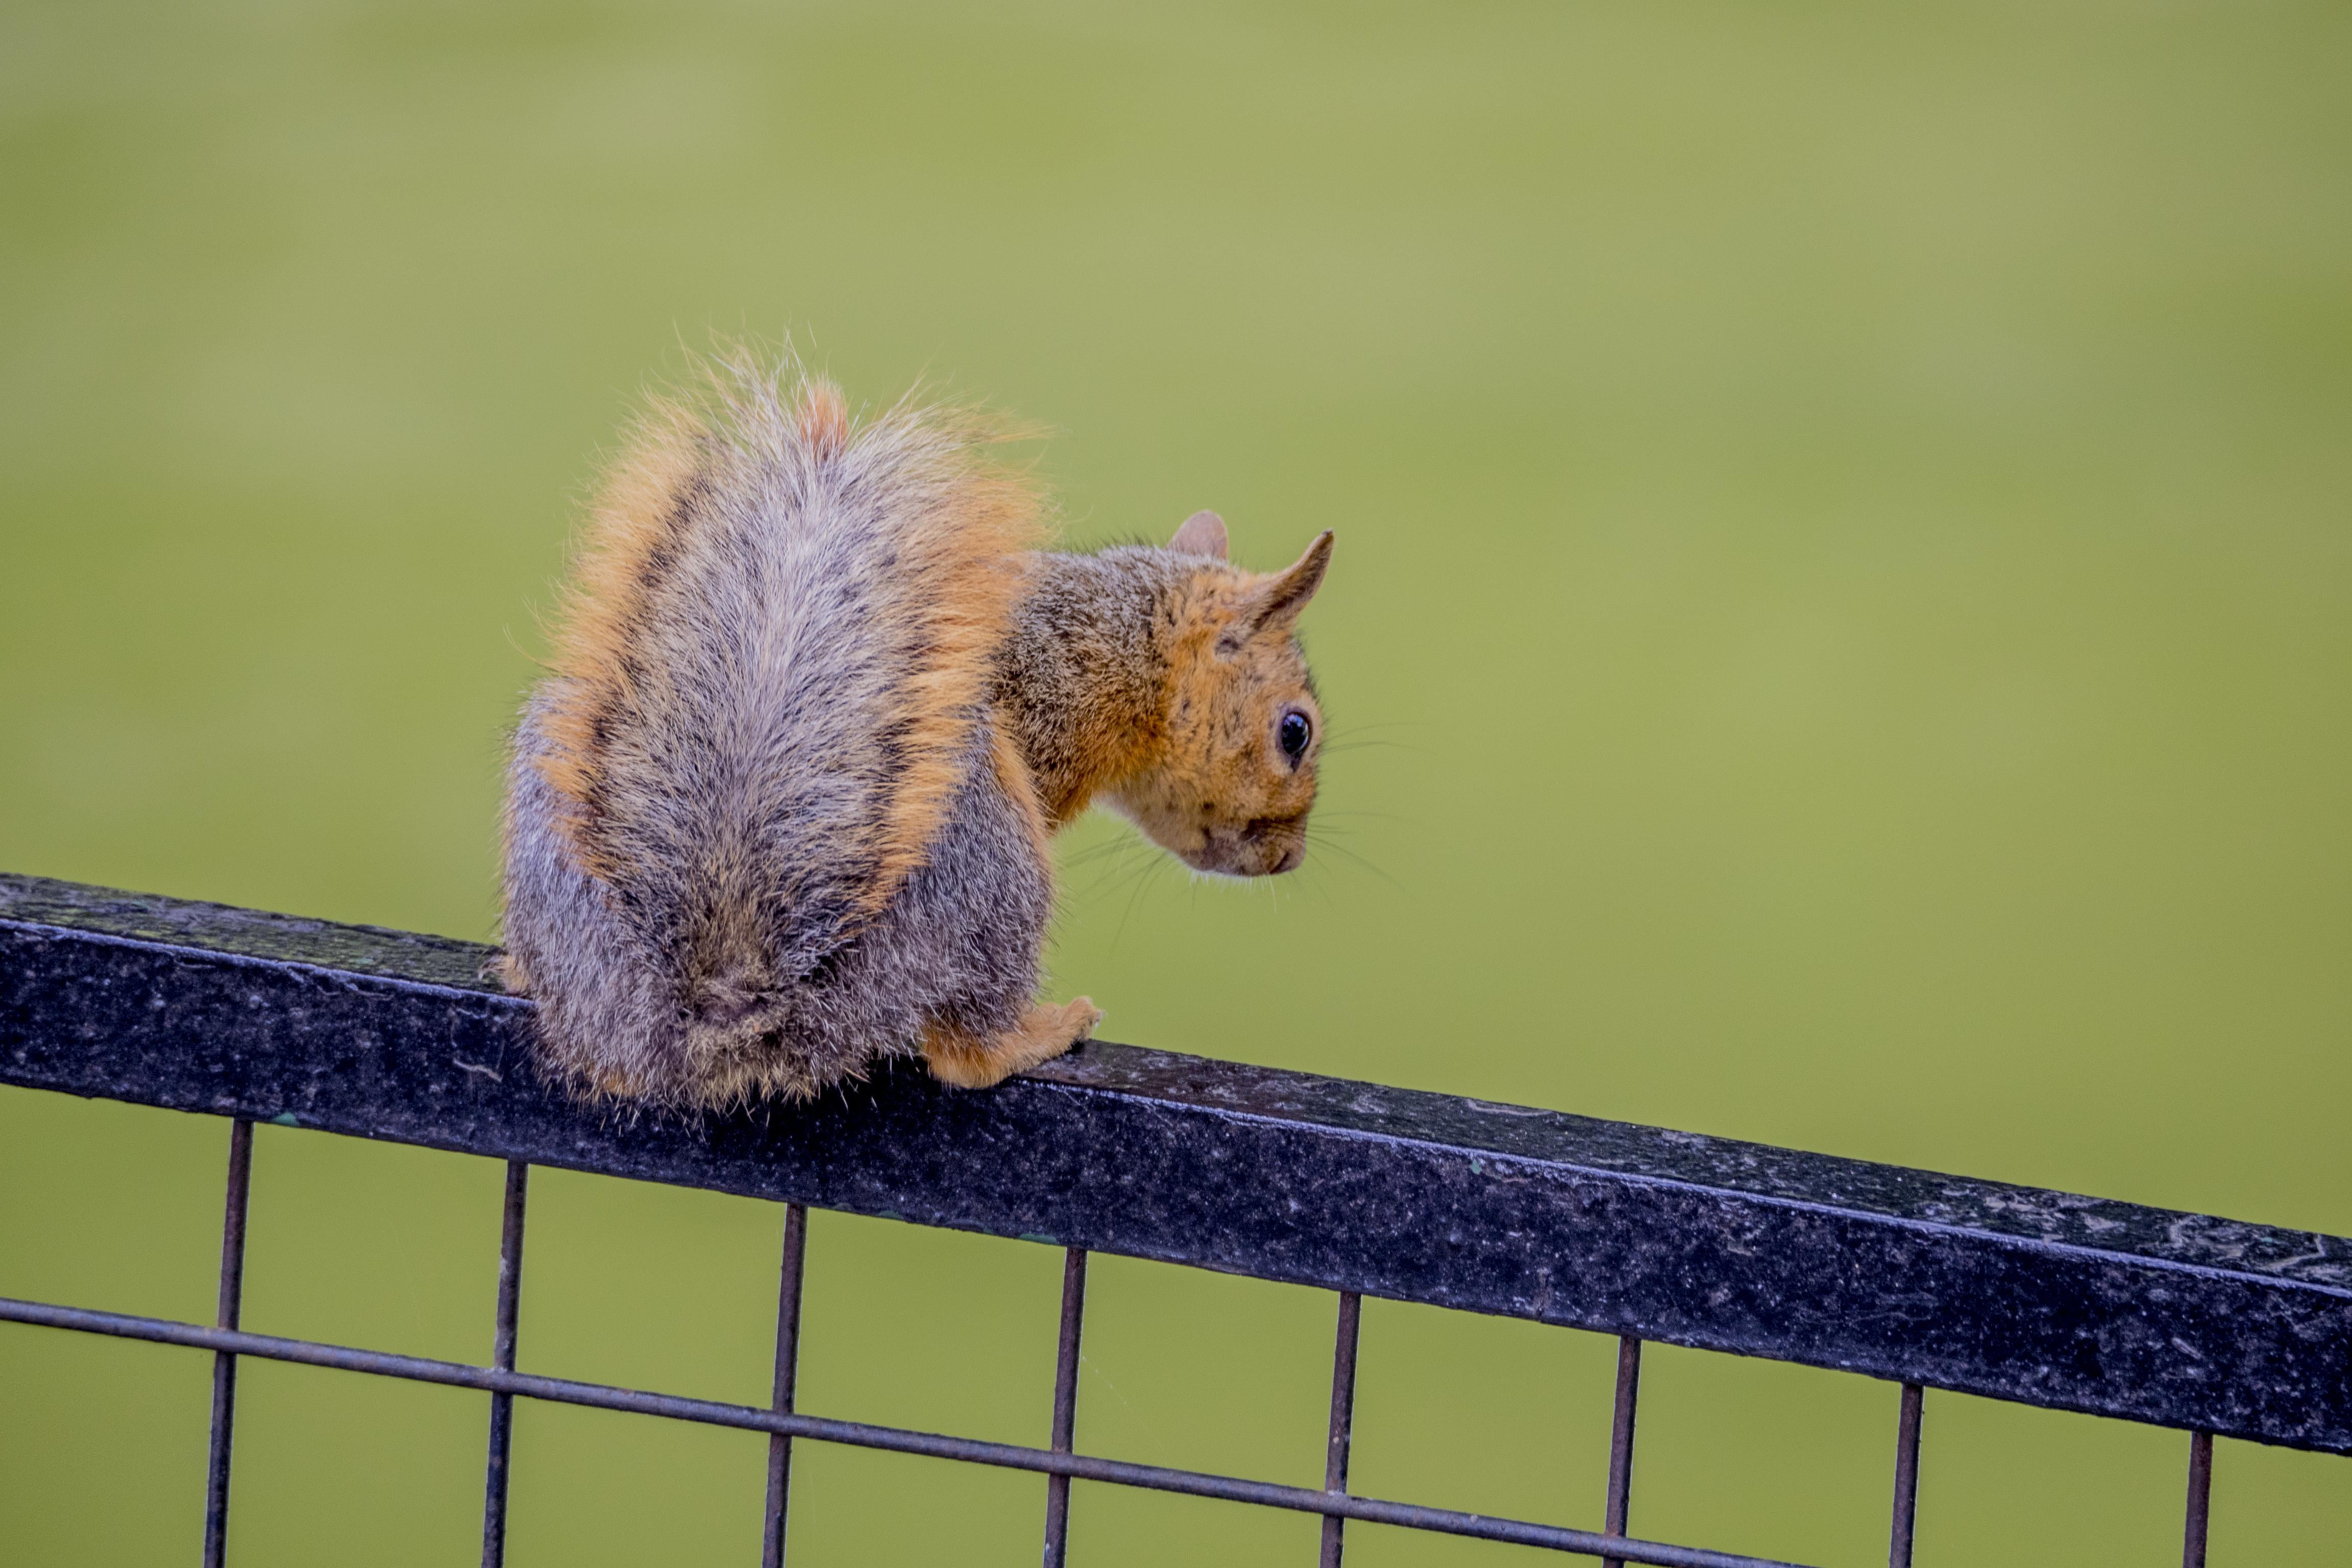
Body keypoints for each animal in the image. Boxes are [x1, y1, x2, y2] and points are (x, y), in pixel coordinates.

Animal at [497, 354, 1334, 1110]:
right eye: (1295, 732)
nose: (1289, 859)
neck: (1121, 649)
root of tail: (731, 995)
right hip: (992, 856)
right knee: (965, 1053)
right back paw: (1035, 1033)